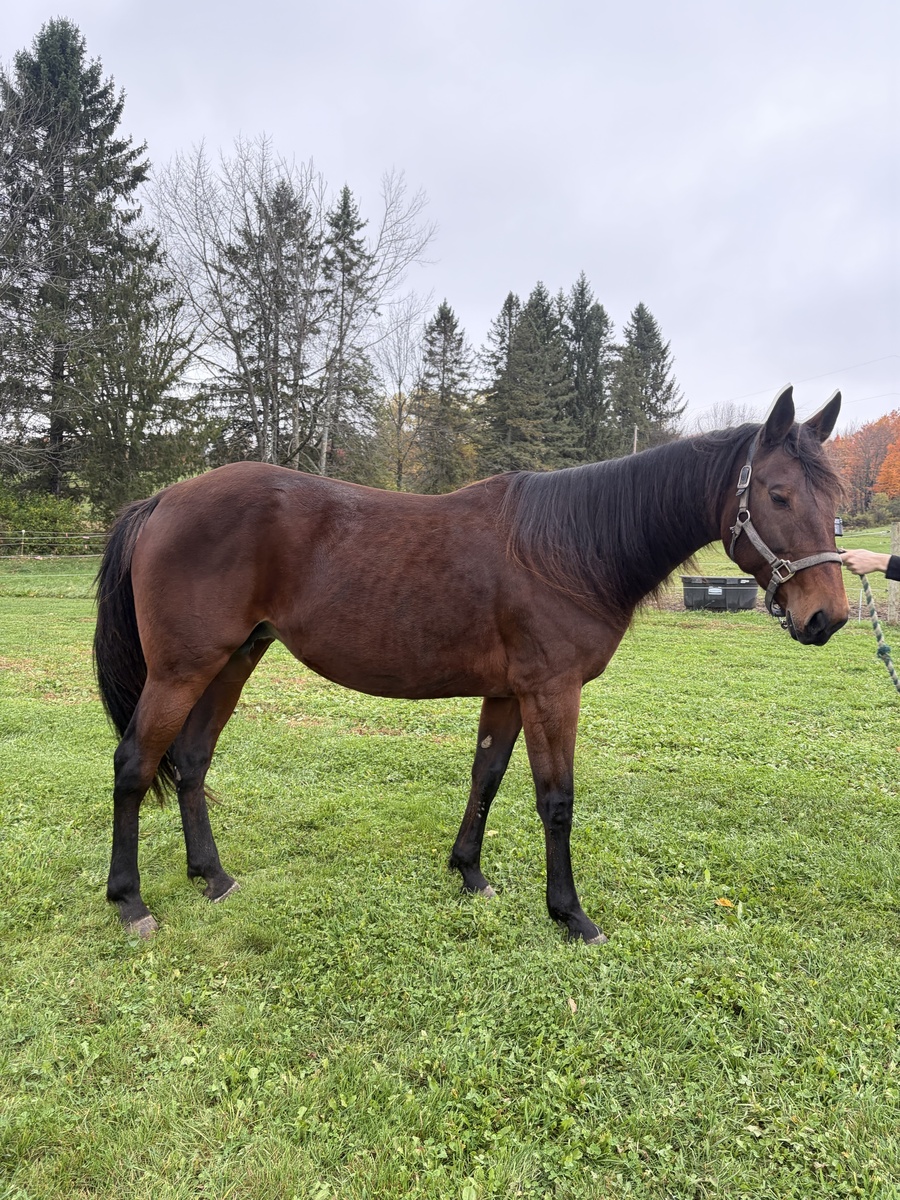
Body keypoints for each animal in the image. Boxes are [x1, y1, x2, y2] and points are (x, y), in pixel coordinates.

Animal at [94, 385, 849, 942]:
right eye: (778, 494)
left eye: (836, 500)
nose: (828, 617)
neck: (570, 548)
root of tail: (162, 500)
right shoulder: (552, 692)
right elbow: (556, 800)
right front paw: (569, 914)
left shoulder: (509, 694)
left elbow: (486, 777)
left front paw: (469, 874)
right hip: (182, 670)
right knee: (135, 763)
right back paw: (130, 903)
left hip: (233, 659)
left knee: (191, 760)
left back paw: (212, 876)